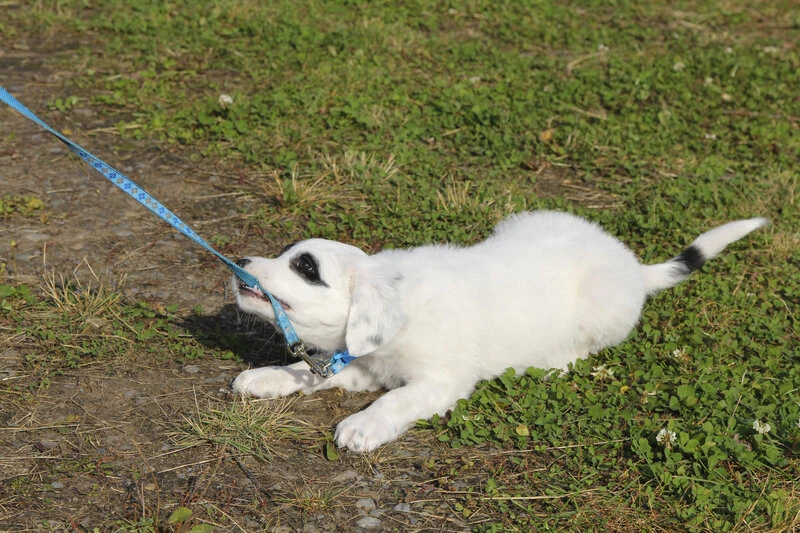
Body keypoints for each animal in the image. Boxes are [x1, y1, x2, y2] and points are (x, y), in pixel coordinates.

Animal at [230, 210, 764, 450]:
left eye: (305, 267)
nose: (240, 262)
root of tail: (634, 267)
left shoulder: (440, 381)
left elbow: (396, 401)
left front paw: (362, 426)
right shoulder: (368, 364)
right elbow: (316, 371)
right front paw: (266, 377)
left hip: (600, 308)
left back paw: (556, 363)